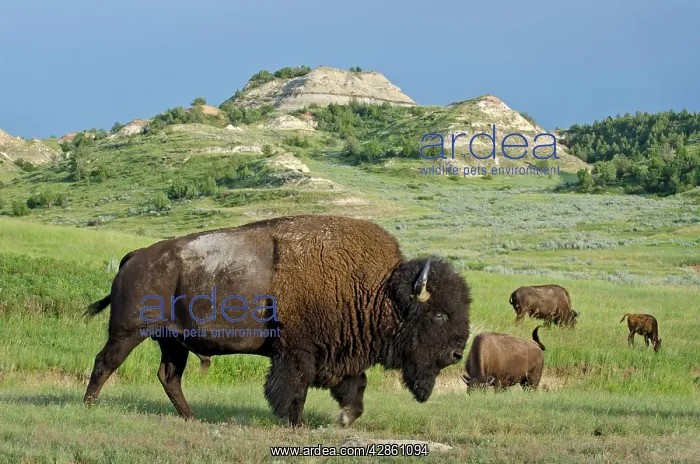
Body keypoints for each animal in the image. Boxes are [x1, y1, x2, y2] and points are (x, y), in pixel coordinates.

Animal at [83, 215, 472, 427]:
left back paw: (190, 417)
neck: (378, 289)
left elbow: (354, 388)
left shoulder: (341, 356)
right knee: (105, 362)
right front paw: (298, 424)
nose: (456, 354)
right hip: (128, 332)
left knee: (169, 376)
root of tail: (136, 256)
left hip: (173, 342)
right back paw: (89, 405)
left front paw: (344, 419)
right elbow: (293, 389)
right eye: (439, 314)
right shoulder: (296, 353)